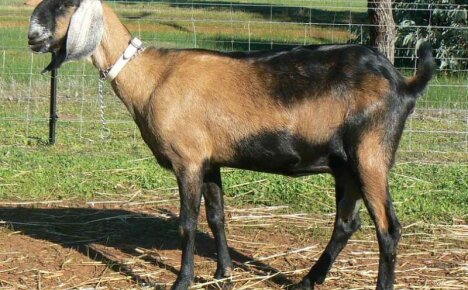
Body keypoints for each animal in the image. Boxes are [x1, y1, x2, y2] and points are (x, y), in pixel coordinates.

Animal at [27, 1, 434, 288]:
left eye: (65, 4)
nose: (32, 36)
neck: (152, 77)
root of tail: (403, 83)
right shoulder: (210, 160)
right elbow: (217, 217)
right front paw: (223, 273)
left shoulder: (187, 159)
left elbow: (187, 224)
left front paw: (183, 281)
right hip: (345, 165)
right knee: (347, 223)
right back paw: (307, 281)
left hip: (370, 154)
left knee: (388, 228)